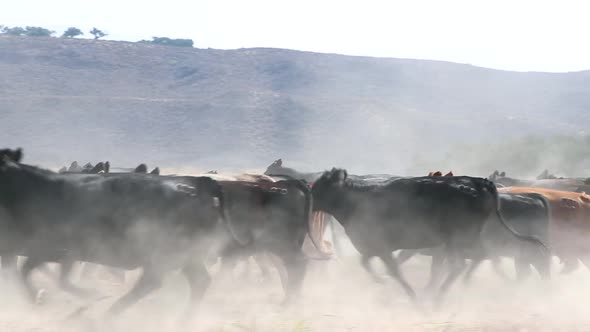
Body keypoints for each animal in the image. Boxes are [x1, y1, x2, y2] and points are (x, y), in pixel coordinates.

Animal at [0, 156, 234, 316]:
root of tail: (200, 184)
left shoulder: (62, 250)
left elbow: (56, 279)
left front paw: (88, 296)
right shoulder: (41, 251)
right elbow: (27, 273)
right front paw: (39, 299)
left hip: (164, 252)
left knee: (152, 281)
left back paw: (108, 316)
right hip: (187, 255)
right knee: (198, 281)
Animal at [312, 169, 548, 304]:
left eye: (320, 186)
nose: (310, 199)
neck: (354, 200)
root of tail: (480, 183)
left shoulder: (380, 246)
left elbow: (393, 270)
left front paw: (408, 294)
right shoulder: (376, 248)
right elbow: (372, 264)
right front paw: (383, 281)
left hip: (458, 239)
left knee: (463, 264)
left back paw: (438, 296)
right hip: (465, 240)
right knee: (478, 260)